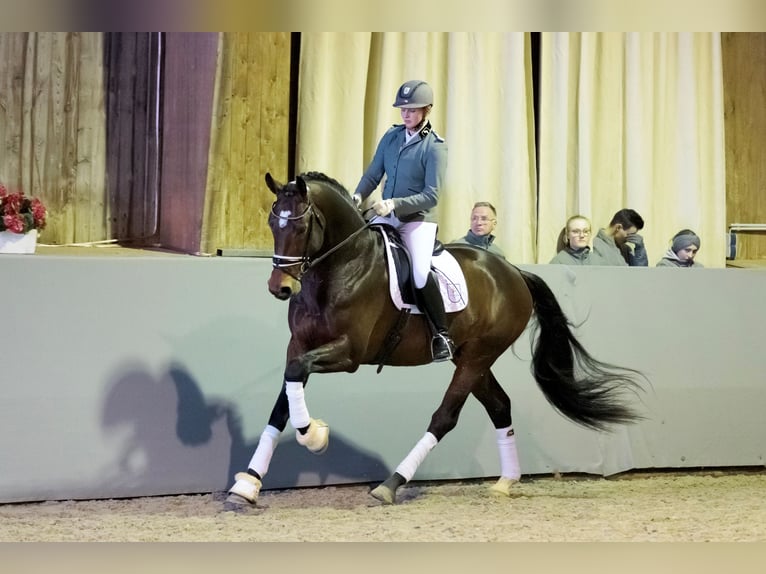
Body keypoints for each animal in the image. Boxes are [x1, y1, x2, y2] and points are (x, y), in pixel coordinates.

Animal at [228, 172, 648, 508]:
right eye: (272, 223)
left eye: (300, 227)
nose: (280, 287)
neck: (339, 268)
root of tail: (513, 272)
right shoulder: (299, 346)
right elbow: (285, 396)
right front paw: (248, 484)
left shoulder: (348, 353)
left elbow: (296, 378)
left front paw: (313, 435)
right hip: (472, 357)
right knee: (500, 406)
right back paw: (505, 482)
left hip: (476, 357)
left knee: (445, 417)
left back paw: (390, 484)